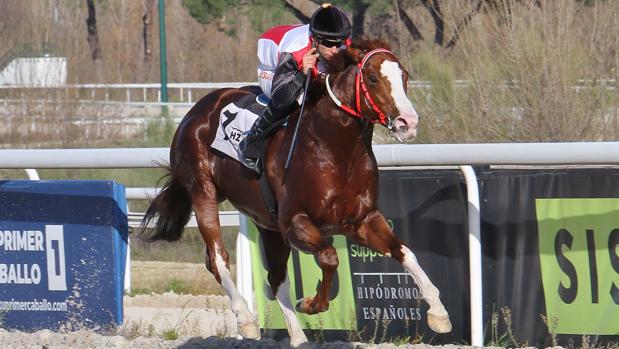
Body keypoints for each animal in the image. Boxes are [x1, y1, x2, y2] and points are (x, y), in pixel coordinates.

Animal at [143, 38, 452, 346]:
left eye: (405, 76)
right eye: (373, 78)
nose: (408, 123)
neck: (334, 148)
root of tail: (198, 109)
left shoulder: (363, 220)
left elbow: (405, 252)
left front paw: (438, 313)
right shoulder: (295, 222)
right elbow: (329, 257)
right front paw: (311, 304)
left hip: (266, 222)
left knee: (275, 277)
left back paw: (298, 338)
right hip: (202, 190)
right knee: (218, 258)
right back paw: (247, 319)